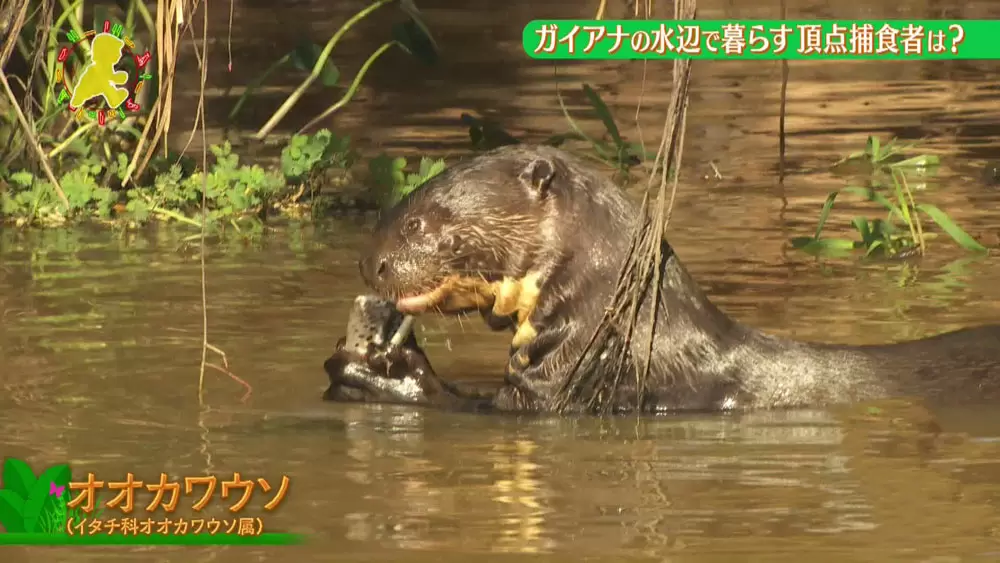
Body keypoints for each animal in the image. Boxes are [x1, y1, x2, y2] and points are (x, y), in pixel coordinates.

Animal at [324, 145, 996, 414]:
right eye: (397, 206)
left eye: (420, 220)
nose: (366, 263)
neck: (622, 324)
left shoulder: (568, 380)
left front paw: (377, 368)